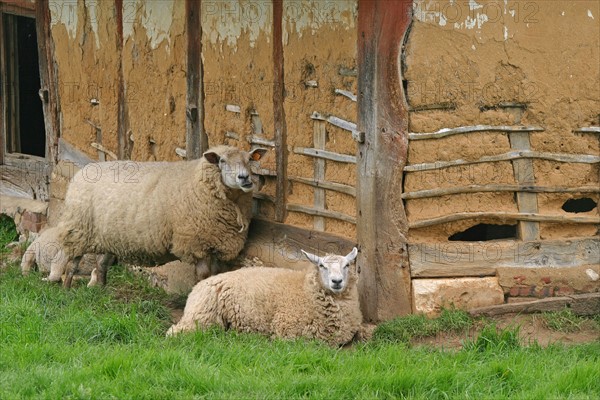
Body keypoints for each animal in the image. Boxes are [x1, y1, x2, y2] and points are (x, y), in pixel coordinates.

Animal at [56, 145, 268, 288]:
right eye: (222, 161)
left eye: (250, 159)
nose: (244, 178)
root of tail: (81, 172)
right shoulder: (195, 243)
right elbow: (203, 275)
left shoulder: (216, 243)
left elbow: (215, 275)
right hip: (78, 230)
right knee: (73, 261)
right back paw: (67, 289)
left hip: (109, 235)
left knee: (101, 263)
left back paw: (101, 289)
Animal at [166, 247, 360, 346]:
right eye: (321, 266)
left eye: (347, 265)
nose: (337, 281)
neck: (305, 290)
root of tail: (199, 286)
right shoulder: (286, 330)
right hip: (201, 319)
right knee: (175, 332)